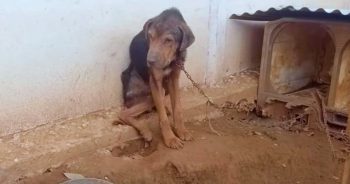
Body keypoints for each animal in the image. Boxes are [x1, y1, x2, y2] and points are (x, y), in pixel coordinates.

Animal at [119, 7, 196, 149]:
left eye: (168, 40)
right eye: (150, 36)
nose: (149, 61)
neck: (171, 60)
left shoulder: (174, 78)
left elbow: (178, 109)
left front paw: (181, 130)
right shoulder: (155, 81)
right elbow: (163, 118)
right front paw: (170, 138)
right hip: (149, 94)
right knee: (123, 113)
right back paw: (145, 131)